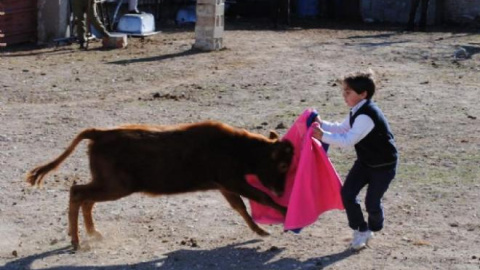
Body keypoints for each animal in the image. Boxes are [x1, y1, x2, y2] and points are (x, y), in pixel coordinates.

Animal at [29, 121, 296, 250]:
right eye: (283, 165)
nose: (283, 191)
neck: (239, 147)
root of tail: (99, 133)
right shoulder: (232, 180)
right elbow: (260, 197)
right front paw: (284, 212)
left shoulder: (225, 185)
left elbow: (239, 207)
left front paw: (260, 231)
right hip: (115, 186)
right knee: (77, 193)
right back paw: (76, 241)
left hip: (108, 184)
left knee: (87, 199)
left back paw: (93, 234)